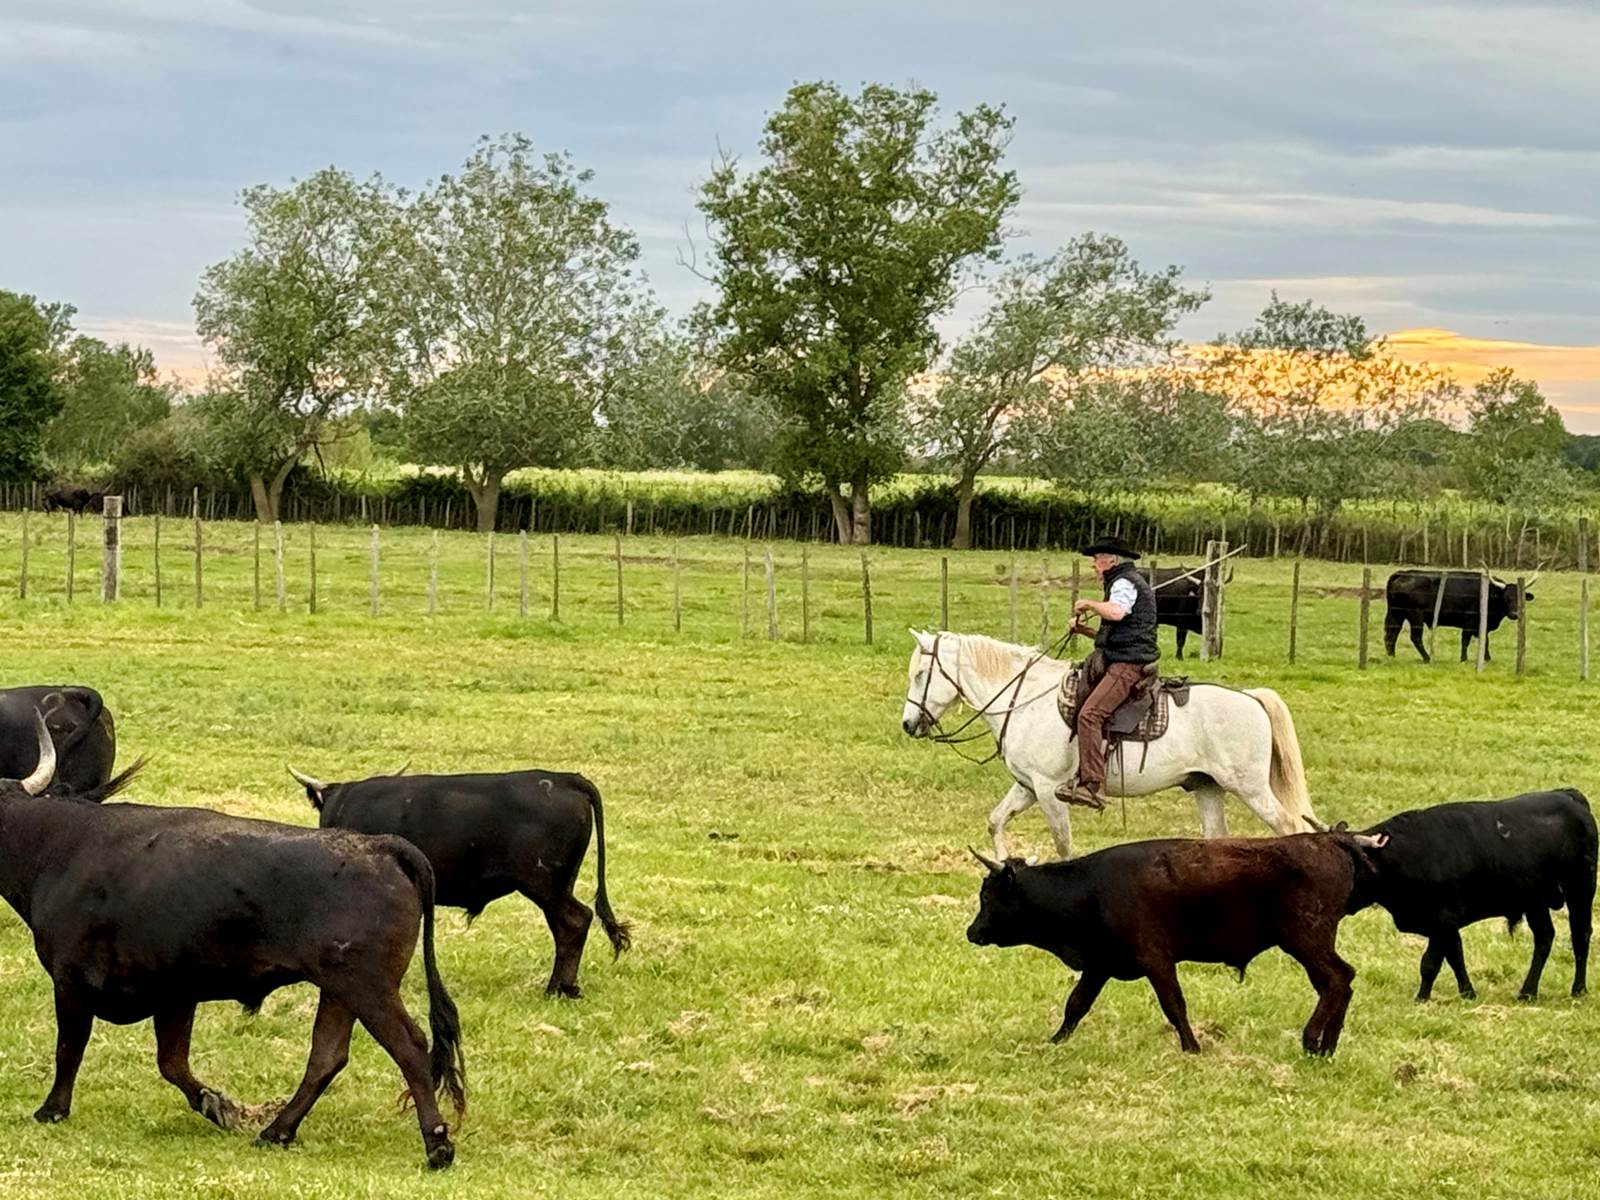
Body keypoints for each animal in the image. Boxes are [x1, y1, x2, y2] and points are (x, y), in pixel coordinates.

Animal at [902, 630, 1324, 864]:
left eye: (920, 674)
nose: (907, 725)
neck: (1024, 700)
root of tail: (1251, 698)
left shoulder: (1048, 789)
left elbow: (1063, 843)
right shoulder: (1027, 787)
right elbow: (996, 821)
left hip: (1249, 788)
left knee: (1290, 826)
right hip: (1208, 787)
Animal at [960, 832, 1388, 1056]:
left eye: (988, 895)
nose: (972, 932)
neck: (1091, 887)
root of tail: (1327, 838)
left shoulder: (1155, 958)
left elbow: (1173, 1004)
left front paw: (1191, 1047)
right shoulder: (1100, 963)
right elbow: (1076, 1005)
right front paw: (1055, 1041)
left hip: (1306, 939)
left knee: (1336, 980)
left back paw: (1312, 1040)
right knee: (1340, 982)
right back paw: (1328, 1045)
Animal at [1356, 793, 1593, 998]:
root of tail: (1567, 796)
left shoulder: (1443, 919)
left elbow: (1431, 962)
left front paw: (1422, 998)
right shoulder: (1444, 926)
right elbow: (1455, 957)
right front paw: (1467, 993)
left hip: (1579, 889)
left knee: (1580, 935)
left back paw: (1578, 990)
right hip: (1535, 902)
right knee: (1544, 937)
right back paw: (1527, 993)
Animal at [1382, 569, 1529, 662]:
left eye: (1520, 599)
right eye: (1506, 599)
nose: (1514, 614)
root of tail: (1402, 573)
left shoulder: (1482, 625)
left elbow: (1485, 641)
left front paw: (1487, 659)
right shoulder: (1469, 622)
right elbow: (1465, 641)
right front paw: (1463, 659)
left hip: (1396, 613)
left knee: (1391, 634)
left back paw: (1391, 656)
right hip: (1415, 615)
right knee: (1415, 637)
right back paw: (1427, 658)